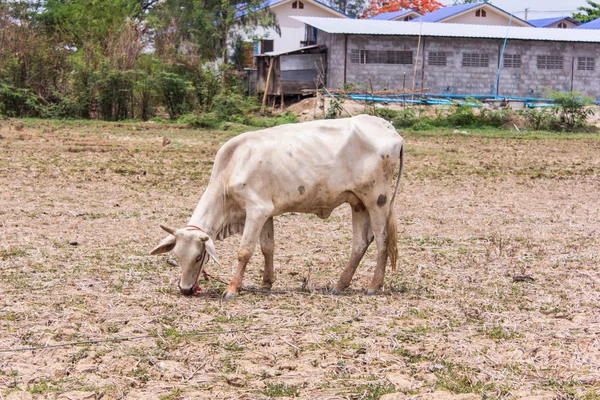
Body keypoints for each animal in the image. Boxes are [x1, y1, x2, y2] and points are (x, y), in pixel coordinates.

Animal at [151, 114, 404, 298]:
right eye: (177, 256)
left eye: (197, 257)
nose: (185, 289)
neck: (231, 167)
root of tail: (387, 126)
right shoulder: (266, 213)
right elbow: (267, 247)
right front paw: (266, 283)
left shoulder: (256, 210)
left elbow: (245, 250)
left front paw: (232, 288)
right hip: (358, 202)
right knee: (360, 243)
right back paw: (340, 285)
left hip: (377, 199)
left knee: (382, 239)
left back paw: (373, 285)